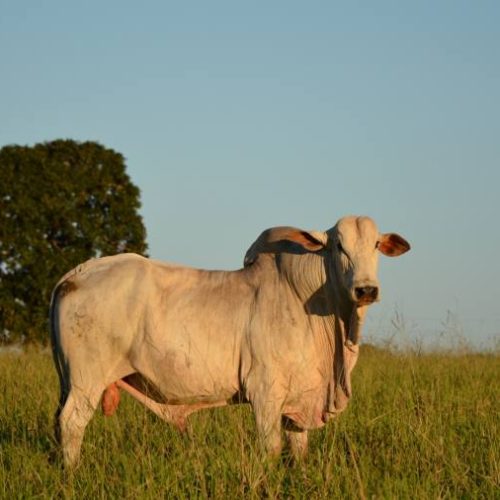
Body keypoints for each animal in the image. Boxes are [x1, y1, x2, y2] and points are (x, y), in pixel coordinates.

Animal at [51, 215, 410, 464]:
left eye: (376, 245)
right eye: (339, 245)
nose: (366, 289)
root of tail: (76, 274)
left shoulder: (298, 402)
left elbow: (298, 450)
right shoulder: (265, 393)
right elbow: (270, 449)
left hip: (70, 382)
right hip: (86, 381)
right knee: (71, 424)